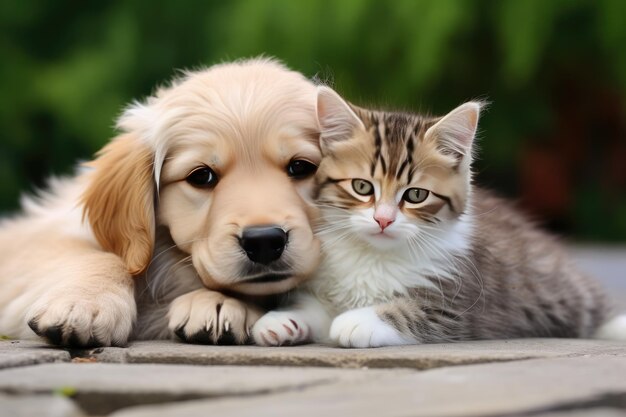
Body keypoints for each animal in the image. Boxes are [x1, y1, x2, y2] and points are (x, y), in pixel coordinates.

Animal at [0, 57, 322, 344]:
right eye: (201, 176)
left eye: (300, 167)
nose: (264, 241)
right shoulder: (42, 233)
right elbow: (102, 256)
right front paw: (84, 303)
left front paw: (218, 302)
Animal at [250, 86, 624, 346]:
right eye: (362, 186)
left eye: (416, 195)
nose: (383, 220)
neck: (374, 255)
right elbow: (315, 308)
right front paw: (282, 320)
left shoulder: (455, 304)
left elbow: (408, 310)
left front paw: (357, 321)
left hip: (551, 285)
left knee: (590, 304)